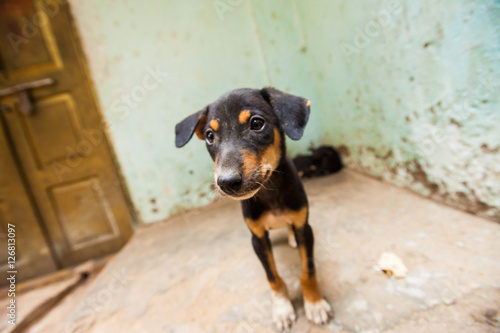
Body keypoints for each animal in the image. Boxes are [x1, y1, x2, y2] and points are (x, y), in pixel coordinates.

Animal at [175, 87, 332, 328]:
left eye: (257, 123)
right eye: (210, 136)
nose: (226, 182)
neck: (270, 192)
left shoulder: (305, 228)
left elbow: (308, 270)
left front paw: (314, 303)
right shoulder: (257, 238)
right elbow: (273, 277)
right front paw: (282, 308)